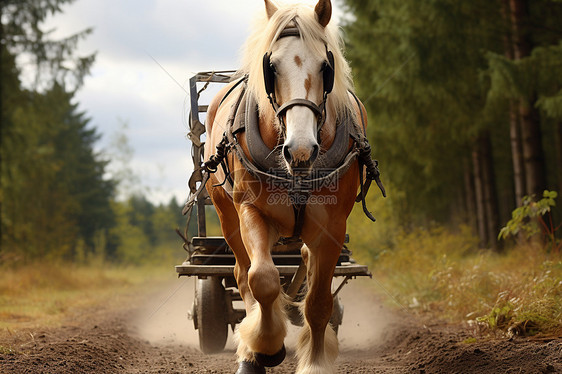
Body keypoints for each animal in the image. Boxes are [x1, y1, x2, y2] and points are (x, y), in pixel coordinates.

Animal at [200, 1, 380, 372]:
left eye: (326, 66)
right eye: (271, 66)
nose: (300, 149)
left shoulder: (332, 227)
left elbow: (320, 302)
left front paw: (314, 361)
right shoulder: (250, 210)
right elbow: (262, 279)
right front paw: (266, 347)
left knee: (305, 265)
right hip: (226, 215)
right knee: (242, 273)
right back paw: (249, 349)